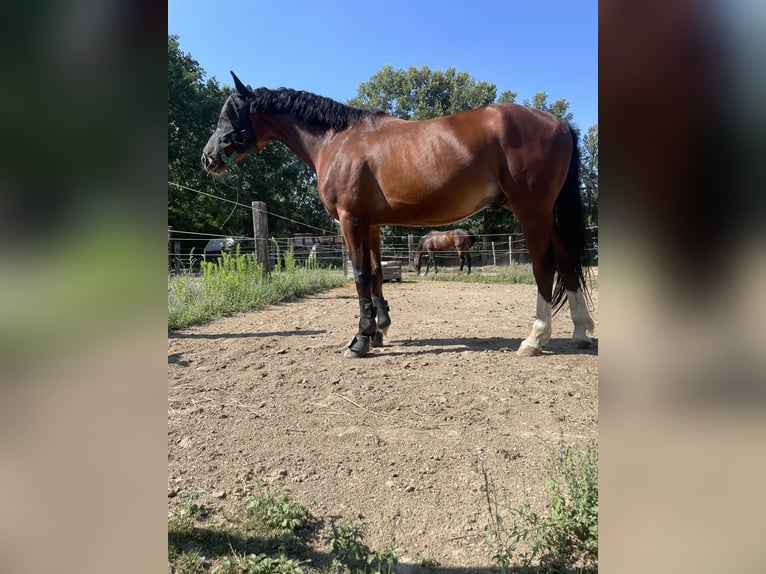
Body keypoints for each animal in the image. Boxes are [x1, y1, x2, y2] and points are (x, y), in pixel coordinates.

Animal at [201, 72, 596, 360]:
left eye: (227, 115)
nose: (208, 158)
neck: (337, 141)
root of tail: (559, 124)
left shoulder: (351, 219)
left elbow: (361, 275)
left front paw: (360, 339)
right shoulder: (371, 224)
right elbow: (376, 274)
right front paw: (380, 329)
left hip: (532, 211)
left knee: (545, 266)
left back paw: (535, 338)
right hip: (548, 213)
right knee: (567, 261)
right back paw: (580, 331)